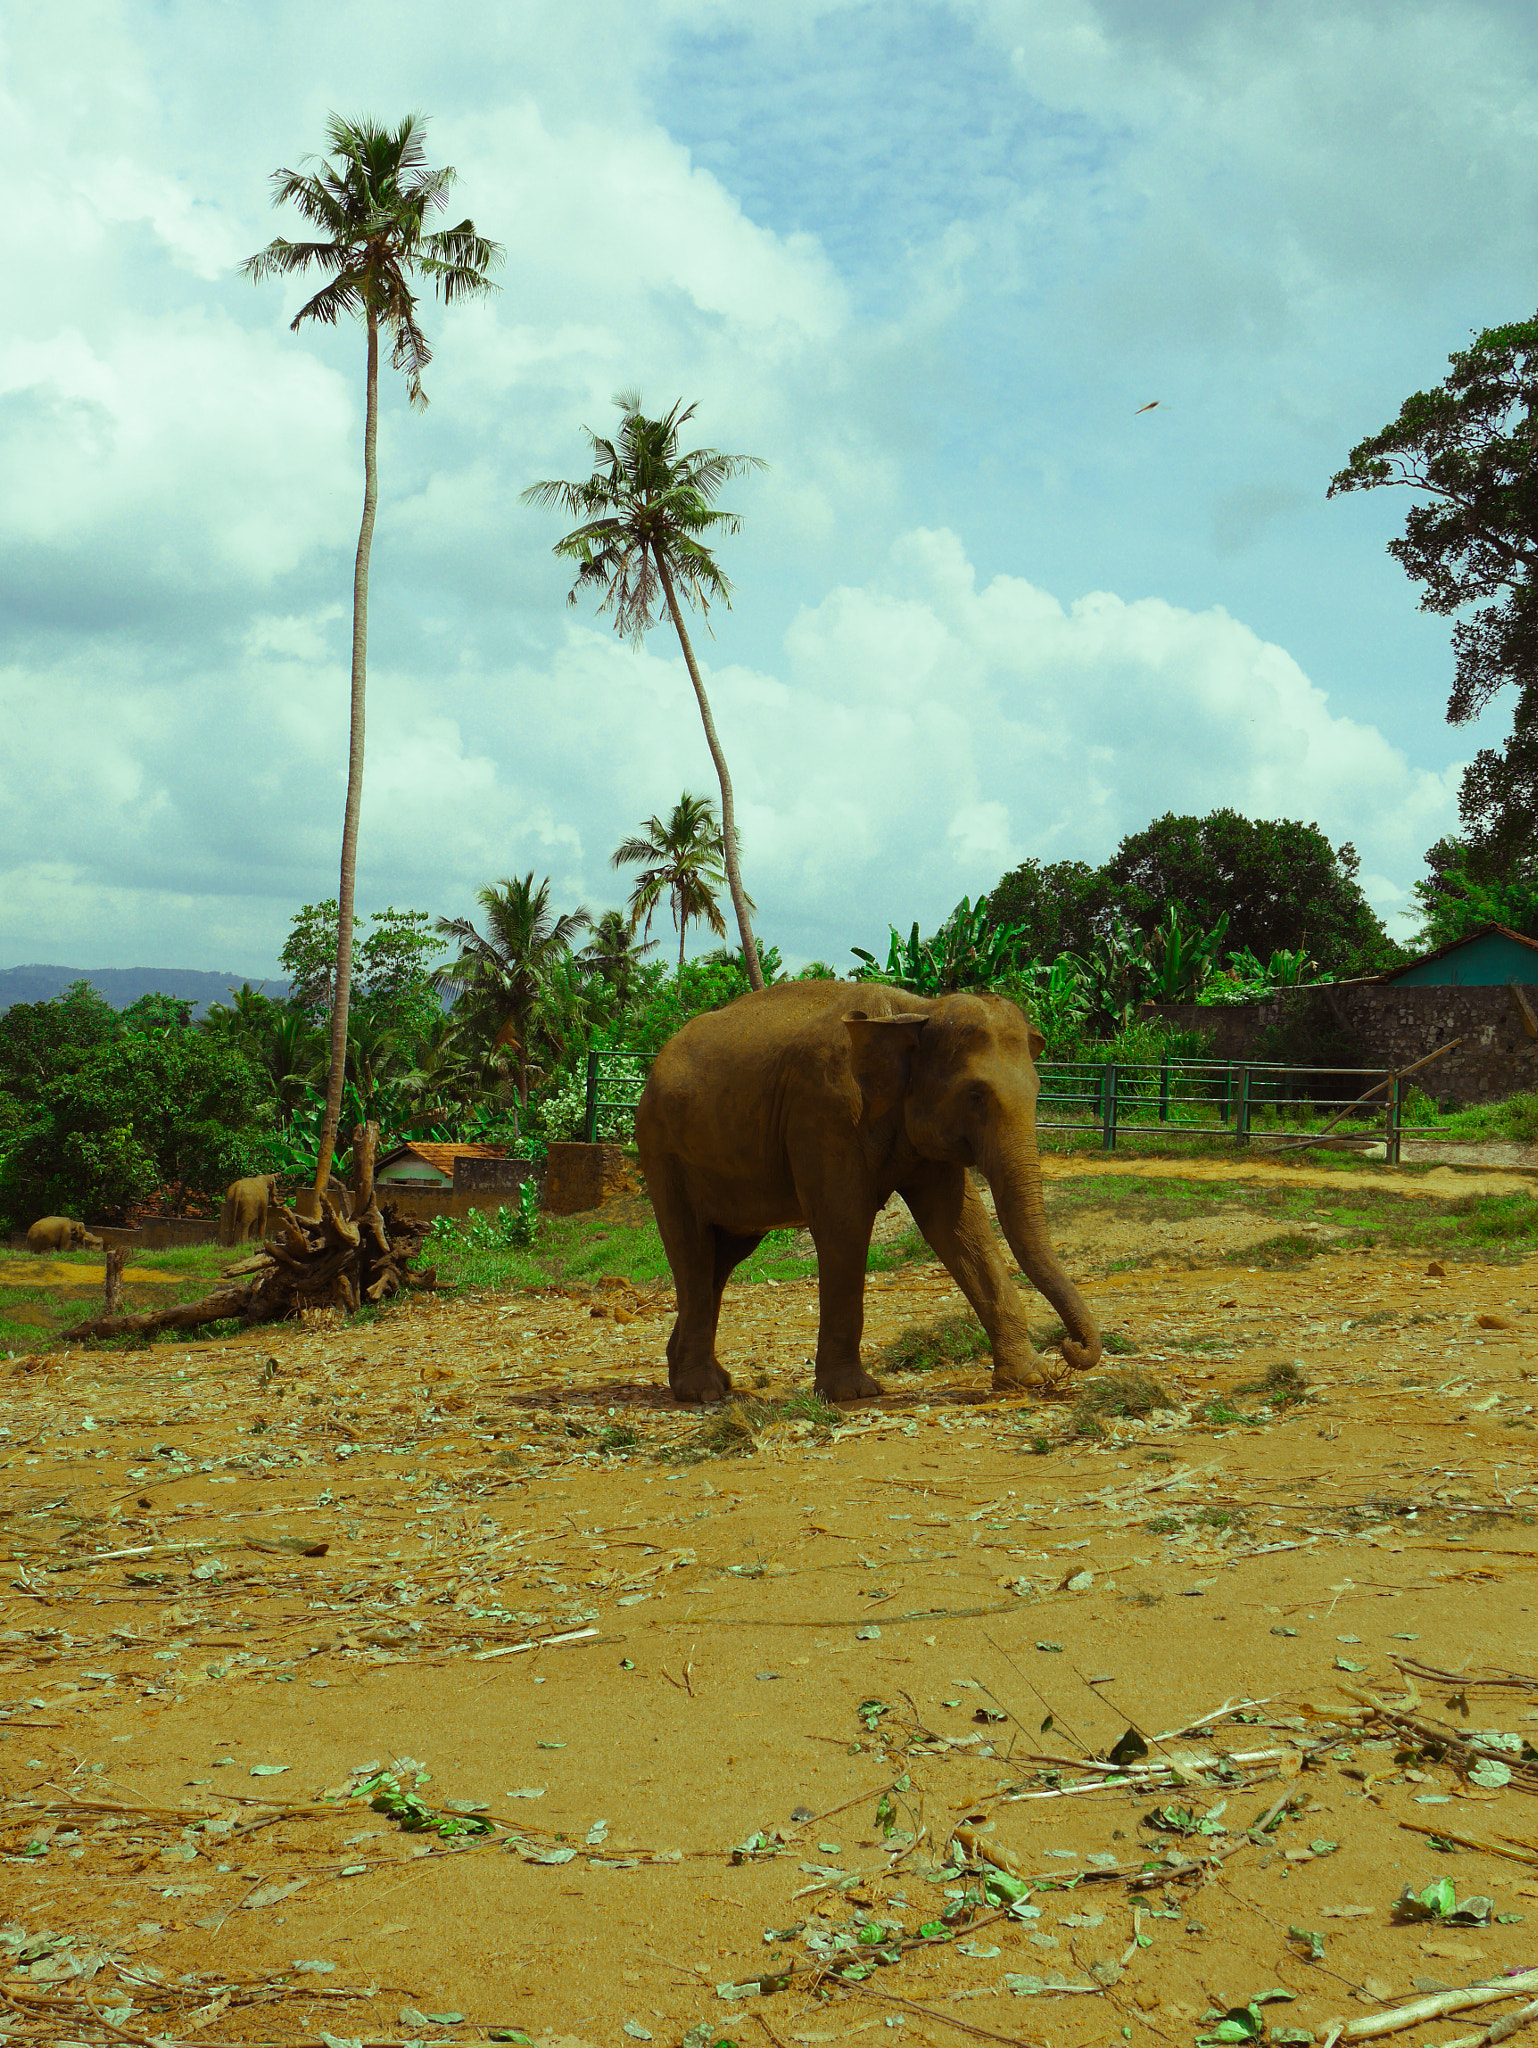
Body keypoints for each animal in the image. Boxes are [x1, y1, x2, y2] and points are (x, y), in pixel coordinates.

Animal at [636, 981, 1102, 1404]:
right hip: (662, 1152)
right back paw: (702, 1392)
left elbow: (960, 1226)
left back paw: (707, 1380)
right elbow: (844, 1225)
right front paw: (852, 1393)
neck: (917, 1010)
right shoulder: (824, 1111)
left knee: (722, 1257)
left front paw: (1030, 1379)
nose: (1071, 1347)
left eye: (1038, 1091)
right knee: (693, 1251)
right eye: (975, 1095)